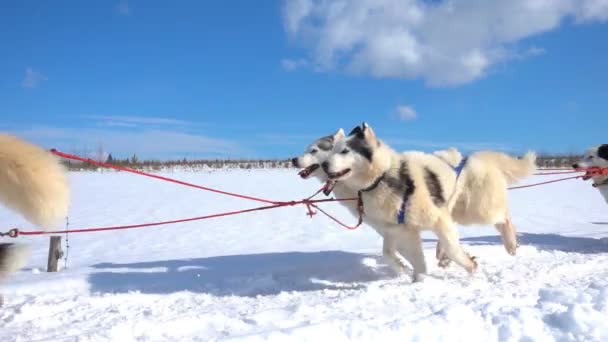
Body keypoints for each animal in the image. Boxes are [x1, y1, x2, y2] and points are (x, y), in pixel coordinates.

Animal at [320, 123, 478, 280]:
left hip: (447, 205)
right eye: (332, 151)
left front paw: (471, 268)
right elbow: (396, 256)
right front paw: (414, 276)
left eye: (345, 151)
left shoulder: (436, 219)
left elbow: (452, 249)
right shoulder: (399, 230)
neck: (380, 178)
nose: (323, 164)